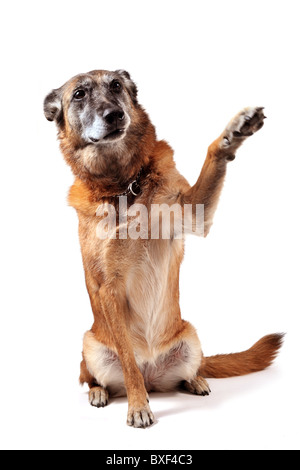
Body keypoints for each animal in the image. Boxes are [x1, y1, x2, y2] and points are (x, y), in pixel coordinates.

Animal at [44, 69, 284, 426]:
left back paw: (196, 380)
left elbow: (212, 157)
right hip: (91, 344)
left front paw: (234, 132)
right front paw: (138, 406)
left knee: (192, 369)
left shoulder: (194, 214)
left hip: (191, 337)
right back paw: (101, 392)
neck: (124, 185)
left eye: (116, 85)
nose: (115, 115)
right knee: (91, 376)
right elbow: (128, 362)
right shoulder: (108, 288)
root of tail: (153, 376)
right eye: (79, 94)